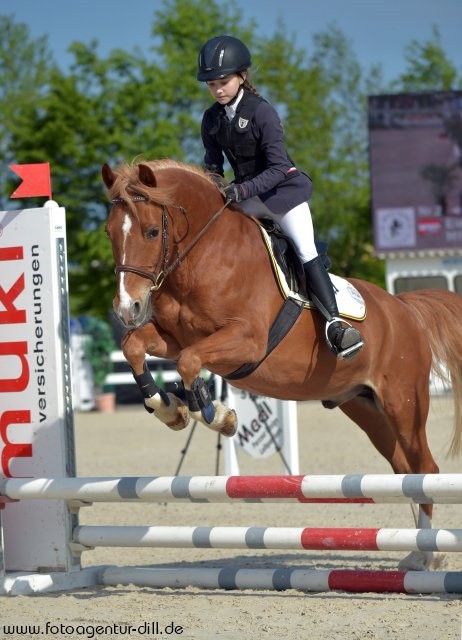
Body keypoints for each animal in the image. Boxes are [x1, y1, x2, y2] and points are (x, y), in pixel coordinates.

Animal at [104, 160, 462, 568]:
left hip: (403, 400)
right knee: (404, 470)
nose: (127, 309)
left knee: (425, 467)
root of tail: (404, 307)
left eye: (151, 231)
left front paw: (218, 416)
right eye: (109, 232)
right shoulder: (173, 337)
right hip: (365, 405)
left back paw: (430, 555)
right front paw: (169, 408)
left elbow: (190, 362)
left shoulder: (246, 340)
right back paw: (417, 551)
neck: (204, 256)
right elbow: (135, 347)